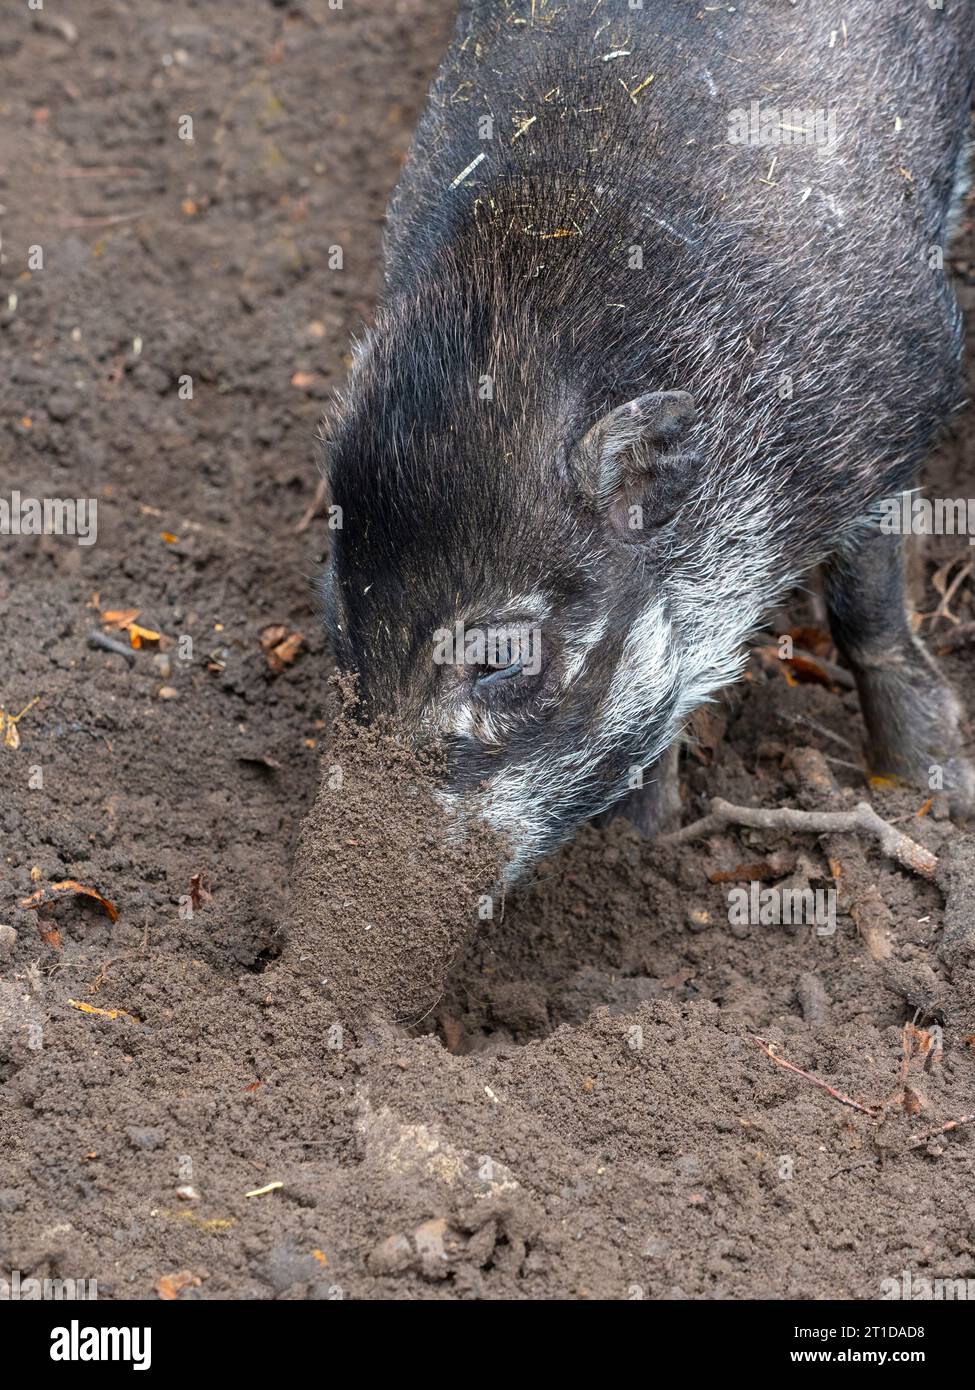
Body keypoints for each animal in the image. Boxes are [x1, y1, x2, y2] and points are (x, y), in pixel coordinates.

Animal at [321, 0, 975, 882]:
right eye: (339, 618)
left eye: (499, 659)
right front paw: (647, 839)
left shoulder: (902, 396)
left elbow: (865, 606)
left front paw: (934, 784)